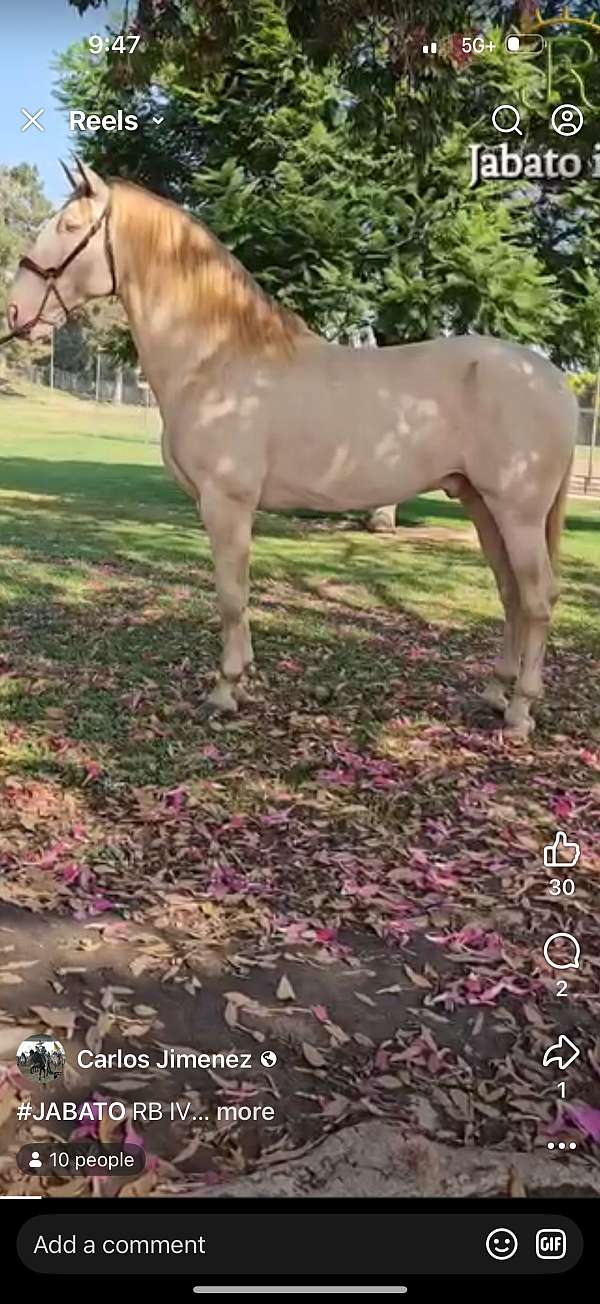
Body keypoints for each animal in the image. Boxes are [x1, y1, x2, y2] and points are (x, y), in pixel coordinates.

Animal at [4, 159, 577, 740]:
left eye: (70, 227)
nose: (15, 312)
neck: (216, 359)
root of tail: (552, 379)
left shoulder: (225, 503)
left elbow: (231, 595)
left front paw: (224, 691)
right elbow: (238, 595)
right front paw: (242, 683)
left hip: (517, 513)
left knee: (537, 599)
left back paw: (520, 712)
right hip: (481, 505)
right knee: (511, 593)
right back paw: (493, 692)